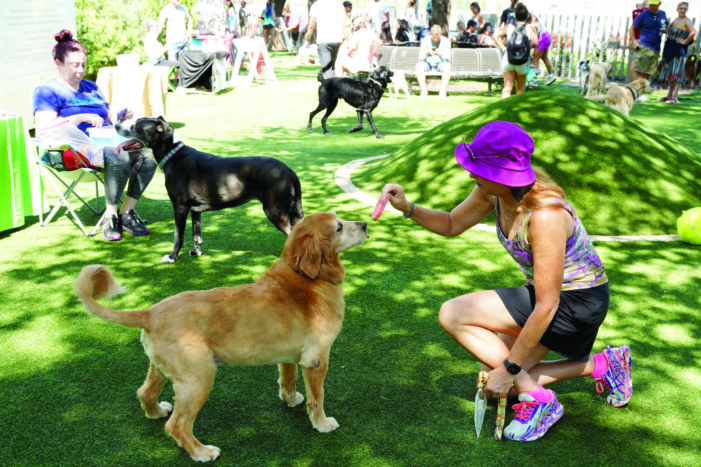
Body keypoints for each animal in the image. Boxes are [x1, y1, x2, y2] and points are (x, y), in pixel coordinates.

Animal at [74, 213, 370, 464]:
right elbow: (317, 398)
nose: (365, 224)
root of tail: (150, 313)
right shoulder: (317, 360)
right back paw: (201, 452)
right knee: (177, 425)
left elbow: (287, 379)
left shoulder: (288, 356)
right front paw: (322, 423)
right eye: (339, 226)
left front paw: (290, 399)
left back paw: (156, 411)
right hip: (199, 378)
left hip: (161, 368)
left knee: (145, 393)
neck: (305, 276)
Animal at [114, 117, 300, 264]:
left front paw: (172, 257)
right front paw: (196, 252)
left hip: (274, 210)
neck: (173, 155)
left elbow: (178, 236)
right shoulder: (196, 210)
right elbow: (197, 235)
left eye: (137, 124)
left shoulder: (180, 207)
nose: (116, 125)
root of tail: (288, 170)